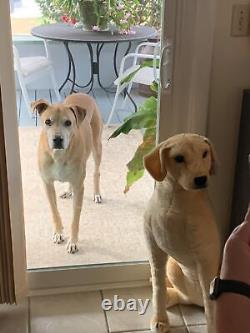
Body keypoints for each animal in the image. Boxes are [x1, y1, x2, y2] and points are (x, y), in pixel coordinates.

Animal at [32, 92, 102, 253]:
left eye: (68, 123)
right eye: (48, 121)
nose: (58, 139)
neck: (58, 155)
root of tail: (82, 93)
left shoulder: (79, 187)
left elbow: (75, 219)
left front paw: (73, 242)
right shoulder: (47, 184)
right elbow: (54, 211)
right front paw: (58, 232)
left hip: (97, 146)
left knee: (96, 172)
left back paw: (96, 193)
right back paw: (68, 191)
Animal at [144, 133, 220, 332]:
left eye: (205, 153)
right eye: (179, 158)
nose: (201, 179)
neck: (176, 198)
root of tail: (195, 301)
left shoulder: (205, 257)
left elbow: (211, 308)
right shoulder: (154, 246)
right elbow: (158, 288)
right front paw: (160, 319)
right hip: (173, 266)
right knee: (178, 295)